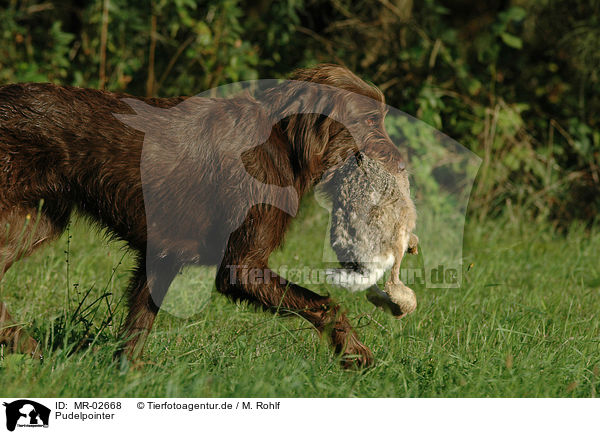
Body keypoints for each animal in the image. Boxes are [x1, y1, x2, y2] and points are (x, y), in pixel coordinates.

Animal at [0, 64, 406, 368]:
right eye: (371, 120)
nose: (401, 164)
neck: (281, 143)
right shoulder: (241, 267)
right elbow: (325, 304)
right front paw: (355, 353)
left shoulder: (163, 256)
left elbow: (139, 322)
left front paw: (127, 372)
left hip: (35, 223)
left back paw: (22, 343)